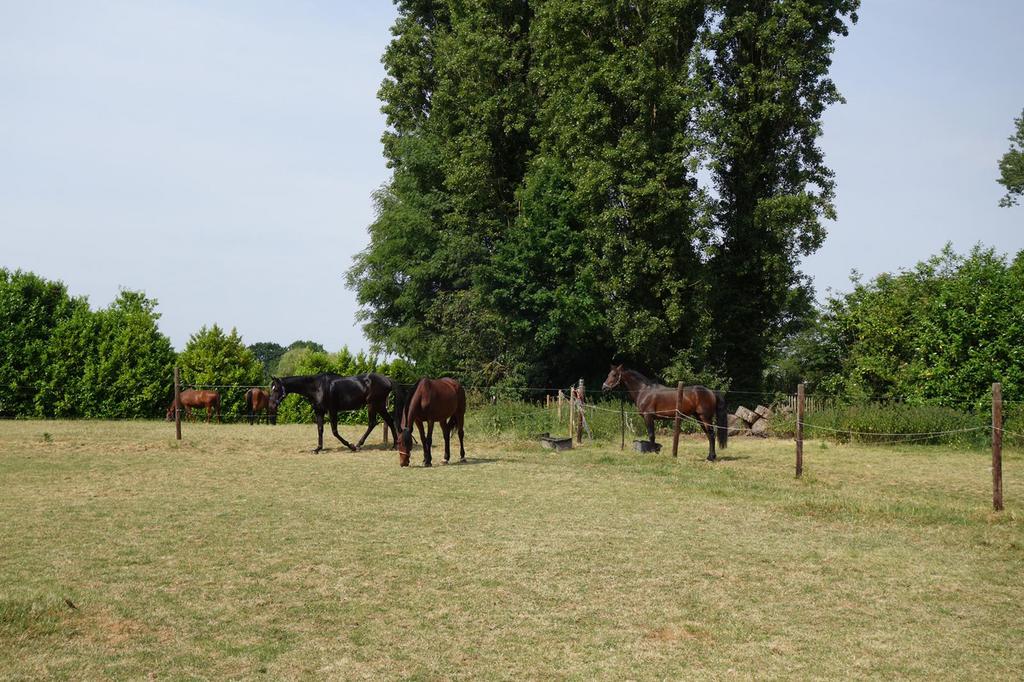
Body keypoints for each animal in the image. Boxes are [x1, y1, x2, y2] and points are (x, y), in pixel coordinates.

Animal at [269, 373, 397, 453]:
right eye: (272, 388)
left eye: (276, 389)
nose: (271, 405)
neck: (317, 387)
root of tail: (387, 380)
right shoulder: (319, 411)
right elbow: (320, 429)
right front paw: (317, 449)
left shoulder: (332, 411)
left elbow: (335, 431)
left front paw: (350, 446)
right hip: (379, 406)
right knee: (389, 421)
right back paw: (394, 446)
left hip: (374, 405)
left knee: (372, 423)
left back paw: (358, 445)